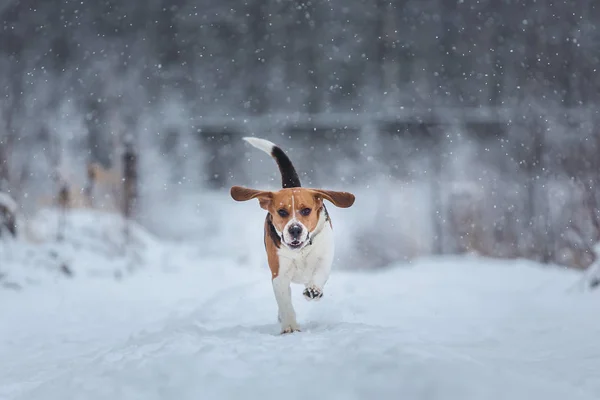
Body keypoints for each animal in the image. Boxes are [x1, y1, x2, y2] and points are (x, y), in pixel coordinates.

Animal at [227, 138, 354, 334]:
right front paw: (290, 327)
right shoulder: (279, 276)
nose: (295, 229)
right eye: (282, 212)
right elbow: (285, 303)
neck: (300, 250)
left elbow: (319, 273)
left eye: (306, 210)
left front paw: (313, 290)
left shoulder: (324, 257)